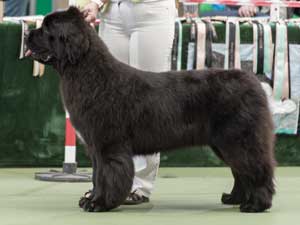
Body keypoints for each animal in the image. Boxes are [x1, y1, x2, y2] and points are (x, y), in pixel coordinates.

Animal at [26, 6, 276, 213]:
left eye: (46, 28)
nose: (28, 33)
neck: (88, 72)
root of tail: (253, 80)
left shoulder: (108, 144)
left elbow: (107, 175)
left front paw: (99, 203)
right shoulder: (96, 147)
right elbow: (97, 176)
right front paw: (91, 199)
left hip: (238, 138)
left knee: (256, 169)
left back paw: (255, 205)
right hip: (224, 142)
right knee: (241, 171)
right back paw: (234, 198)